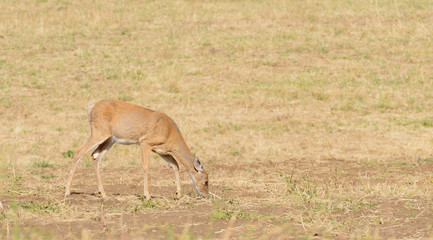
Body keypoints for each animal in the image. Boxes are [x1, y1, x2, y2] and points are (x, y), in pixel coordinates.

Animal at [63, 98, 209, 200]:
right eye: (206, 181)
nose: (206, 196)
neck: (170, 133)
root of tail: (91, 107)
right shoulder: (145, 142)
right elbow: (146, 166)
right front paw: (147, 195)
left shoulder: (161, 151)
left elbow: (175, 165)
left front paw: (178, 194)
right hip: (98, 132)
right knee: (79, 152)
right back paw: (67, 192)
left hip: (110, 139)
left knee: (95, 156)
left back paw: (103, 194)